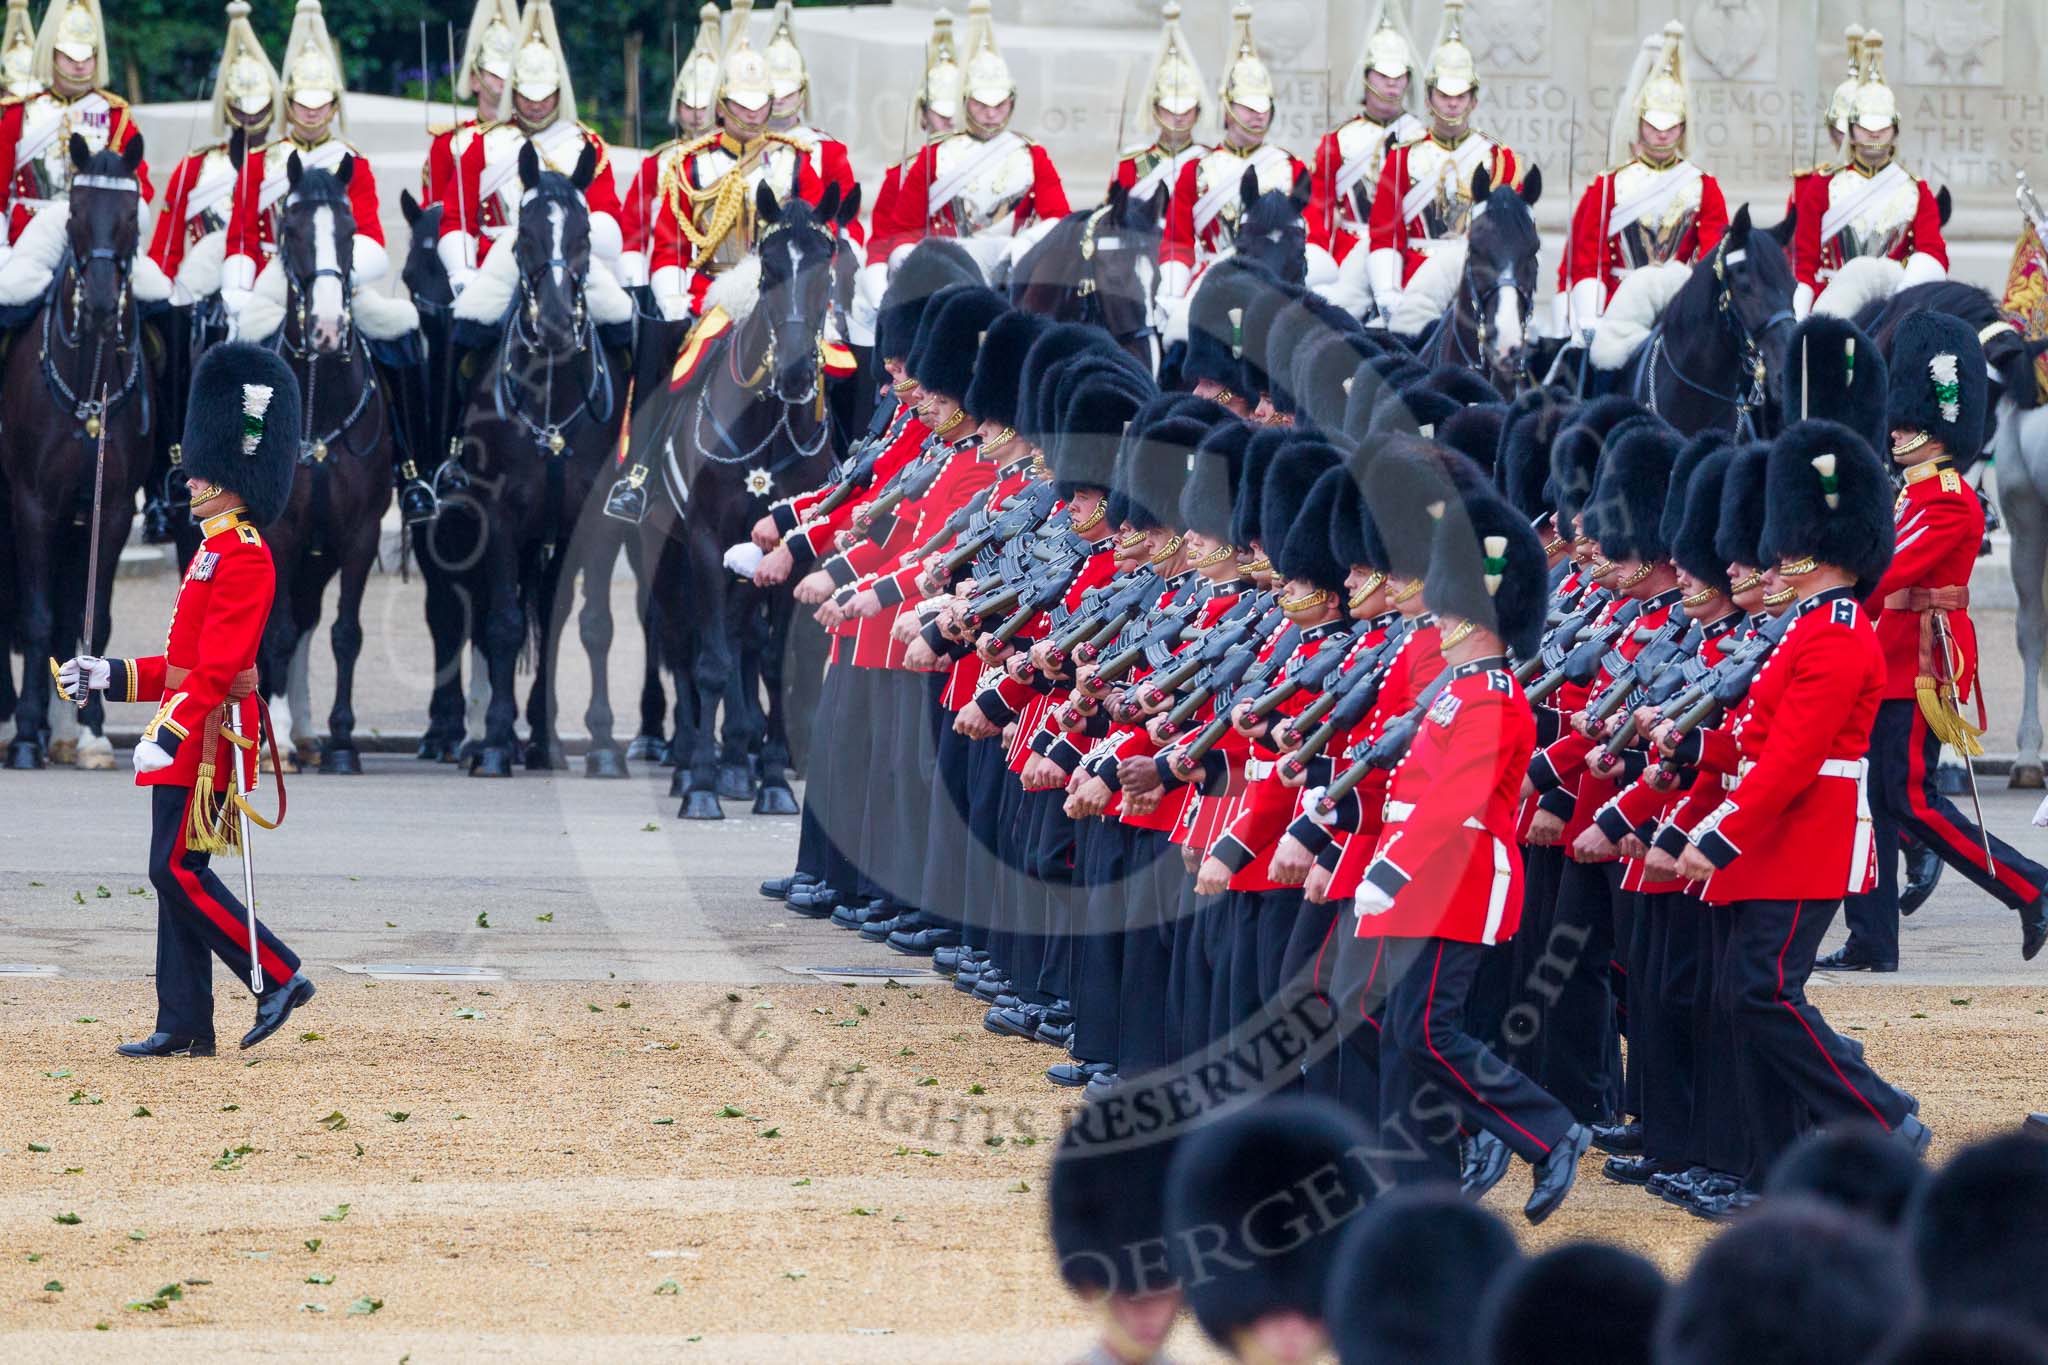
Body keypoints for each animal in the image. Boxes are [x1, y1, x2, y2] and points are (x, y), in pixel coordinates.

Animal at [448, 141, 630, 777]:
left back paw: (544, 738)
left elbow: (593, 626)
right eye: (523, 234)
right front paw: (497, 741)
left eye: (584, 233)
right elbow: (503, 626)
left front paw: (599, 744)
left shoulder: (595, 520)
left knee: (551, 612)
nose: (552, 324)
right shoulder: (498, 516)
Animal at [634, 185, 851, 818]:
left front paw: (773, 778)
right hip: (662, 550)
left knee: (737, 637)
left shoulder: (789, 552)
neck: (770, 427)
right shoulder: (705, 542)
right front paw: (702, 786)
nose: (797, 373)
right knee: (681, 639)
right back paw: (692, 762)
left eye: (827, 273)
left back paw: (737, 756)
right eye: (769, 271)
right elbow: (708, 664)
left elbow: (772, 661)